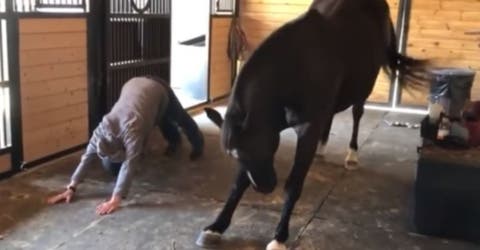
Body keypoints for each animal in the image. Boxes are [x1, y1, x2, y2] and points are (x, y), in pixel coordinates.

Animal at [196, 0, 428, 249]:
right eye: (235, 156)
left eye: (261, 148)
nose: (265, 187)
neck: (295, 70)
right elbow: (238, 184)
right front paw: (215, 227)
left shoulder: (305, 130)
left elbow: (293, 184)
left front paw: (279, 237)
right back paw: (322, 148)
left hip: (363, 88)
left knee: (357, 114)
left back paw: (352, 156)